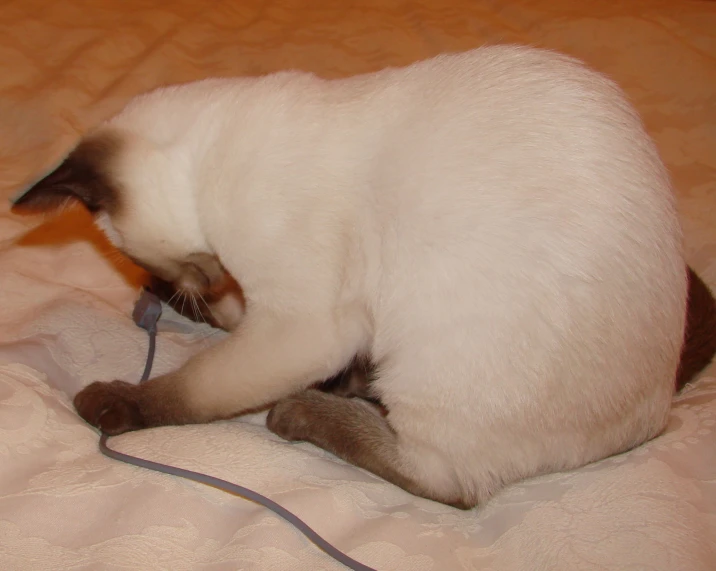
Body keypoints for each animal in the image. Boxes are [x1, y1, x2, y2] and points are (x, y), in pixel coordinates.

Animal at [12, 45, 712, 510]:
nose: (185, 286)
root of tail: (657, 412)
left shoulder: (301, 322)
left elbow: (190, 390)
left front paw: (112, 400)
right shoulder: (264, 302)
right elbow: (232, 320)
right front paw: (186, 305)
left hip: (433, 352)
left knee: (452, 485)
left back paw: (305, 410)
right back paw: (345, 386)